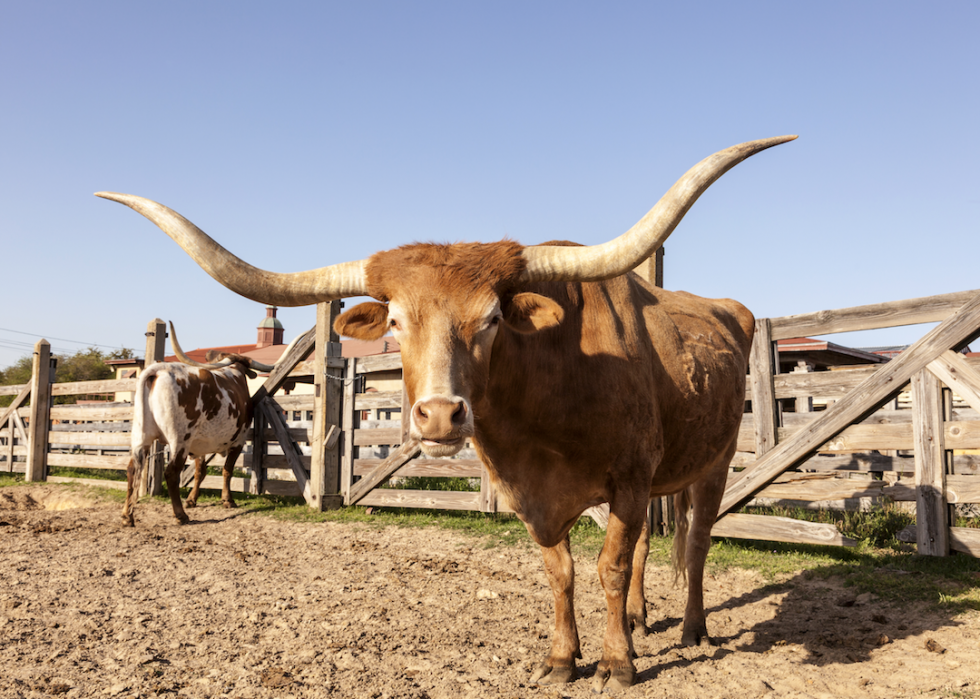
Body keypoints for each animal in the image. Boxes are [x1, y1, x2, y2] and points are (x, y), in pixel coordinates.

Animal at [122, 322, 278, 524]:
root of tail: (158, 369)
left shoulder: (199, 445)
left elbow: (199, 472)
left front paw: (192, 499)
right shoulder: (239, 441)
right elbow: (227, 470)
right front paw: (228, 500)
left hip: (141, 436)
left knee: (132, 469)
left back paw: (127, 516)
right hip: (179, 439)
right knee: (171, 473)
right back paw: (180, 515)